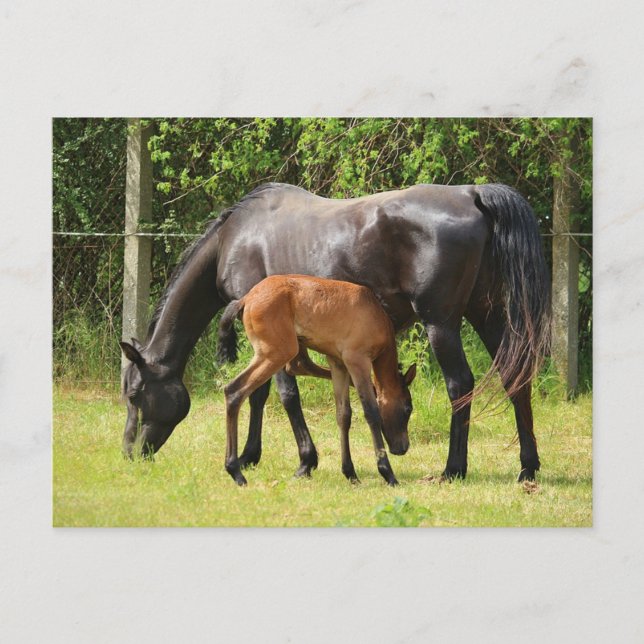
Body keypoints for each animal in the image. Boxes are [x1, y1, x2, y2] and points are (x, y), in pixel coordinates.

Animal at [217, 274, 417, 486]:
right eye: (408, 408)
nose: (403, 447)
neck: (375, 314)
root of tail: (246, 299)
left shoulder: (338, 364)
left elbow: (343, 415)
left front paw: (350, 473)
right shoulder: (357, 361)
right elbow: (371, 412)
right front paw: (387, 473)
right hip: (277, 353)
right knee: (235, 390)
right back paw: (235, 471)